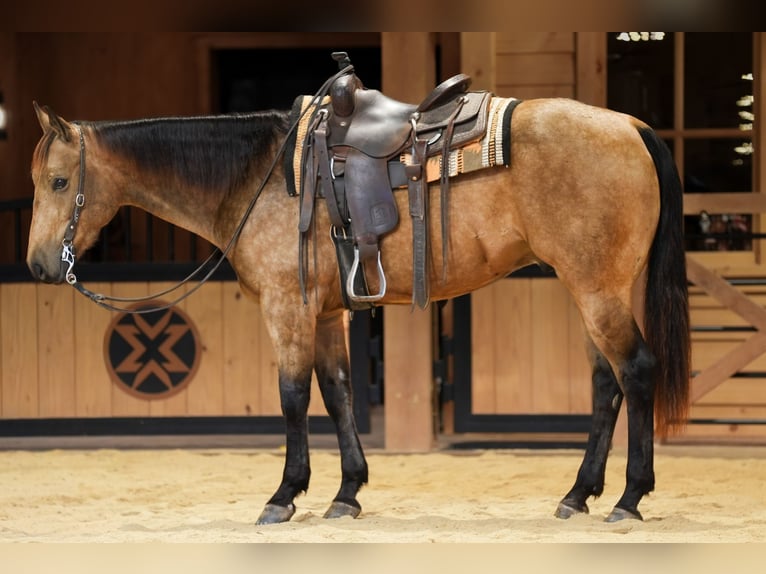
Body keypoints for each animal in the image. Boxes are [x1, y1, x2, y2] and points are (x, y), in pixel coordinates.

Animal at [26, 83, 690, 525]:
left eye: (59, 182)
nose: (37, 265)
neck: (258, 176)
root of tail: (630, 125)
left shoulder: (287, 307)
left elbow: (293, 396)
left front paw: (284, 495)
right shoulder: (325, 312)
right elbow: (338, 390)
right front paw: (347, 493)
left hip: (597, 291)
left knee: (636, 373)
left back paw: (630, 497)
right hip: (592, 290)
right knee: (605, 384)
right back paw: (578, 494)